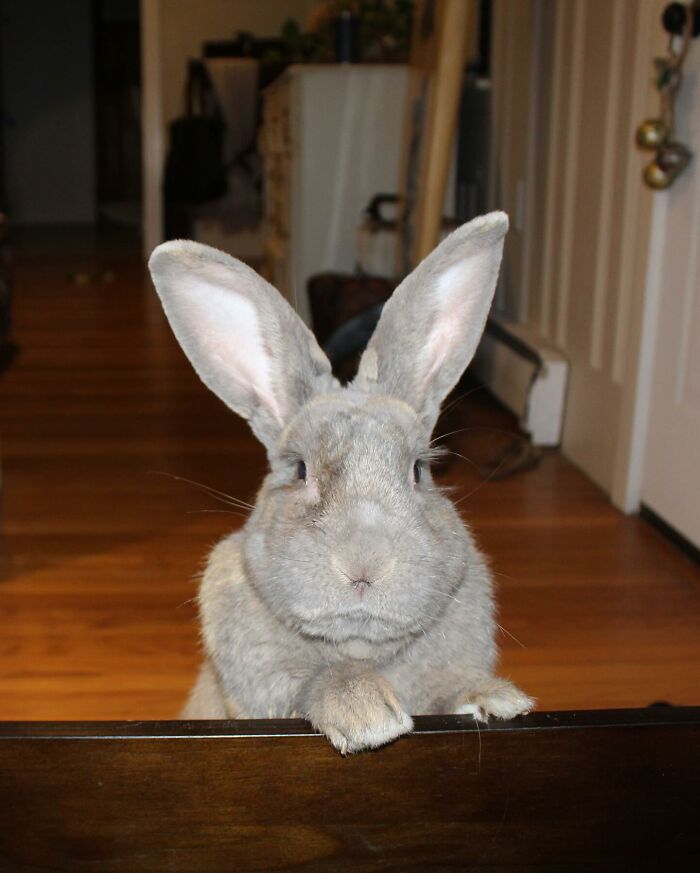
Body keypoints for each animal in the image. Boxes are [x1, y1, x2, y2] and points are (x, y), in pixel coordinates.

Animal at [149, 211, 534, 754]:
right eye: (299, 470)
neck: (359, 649)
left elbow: (449, 685)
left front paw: (493, 700)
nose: (364, 565)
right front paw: (366, 712)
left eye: (419, 470)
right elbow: (308, 680)